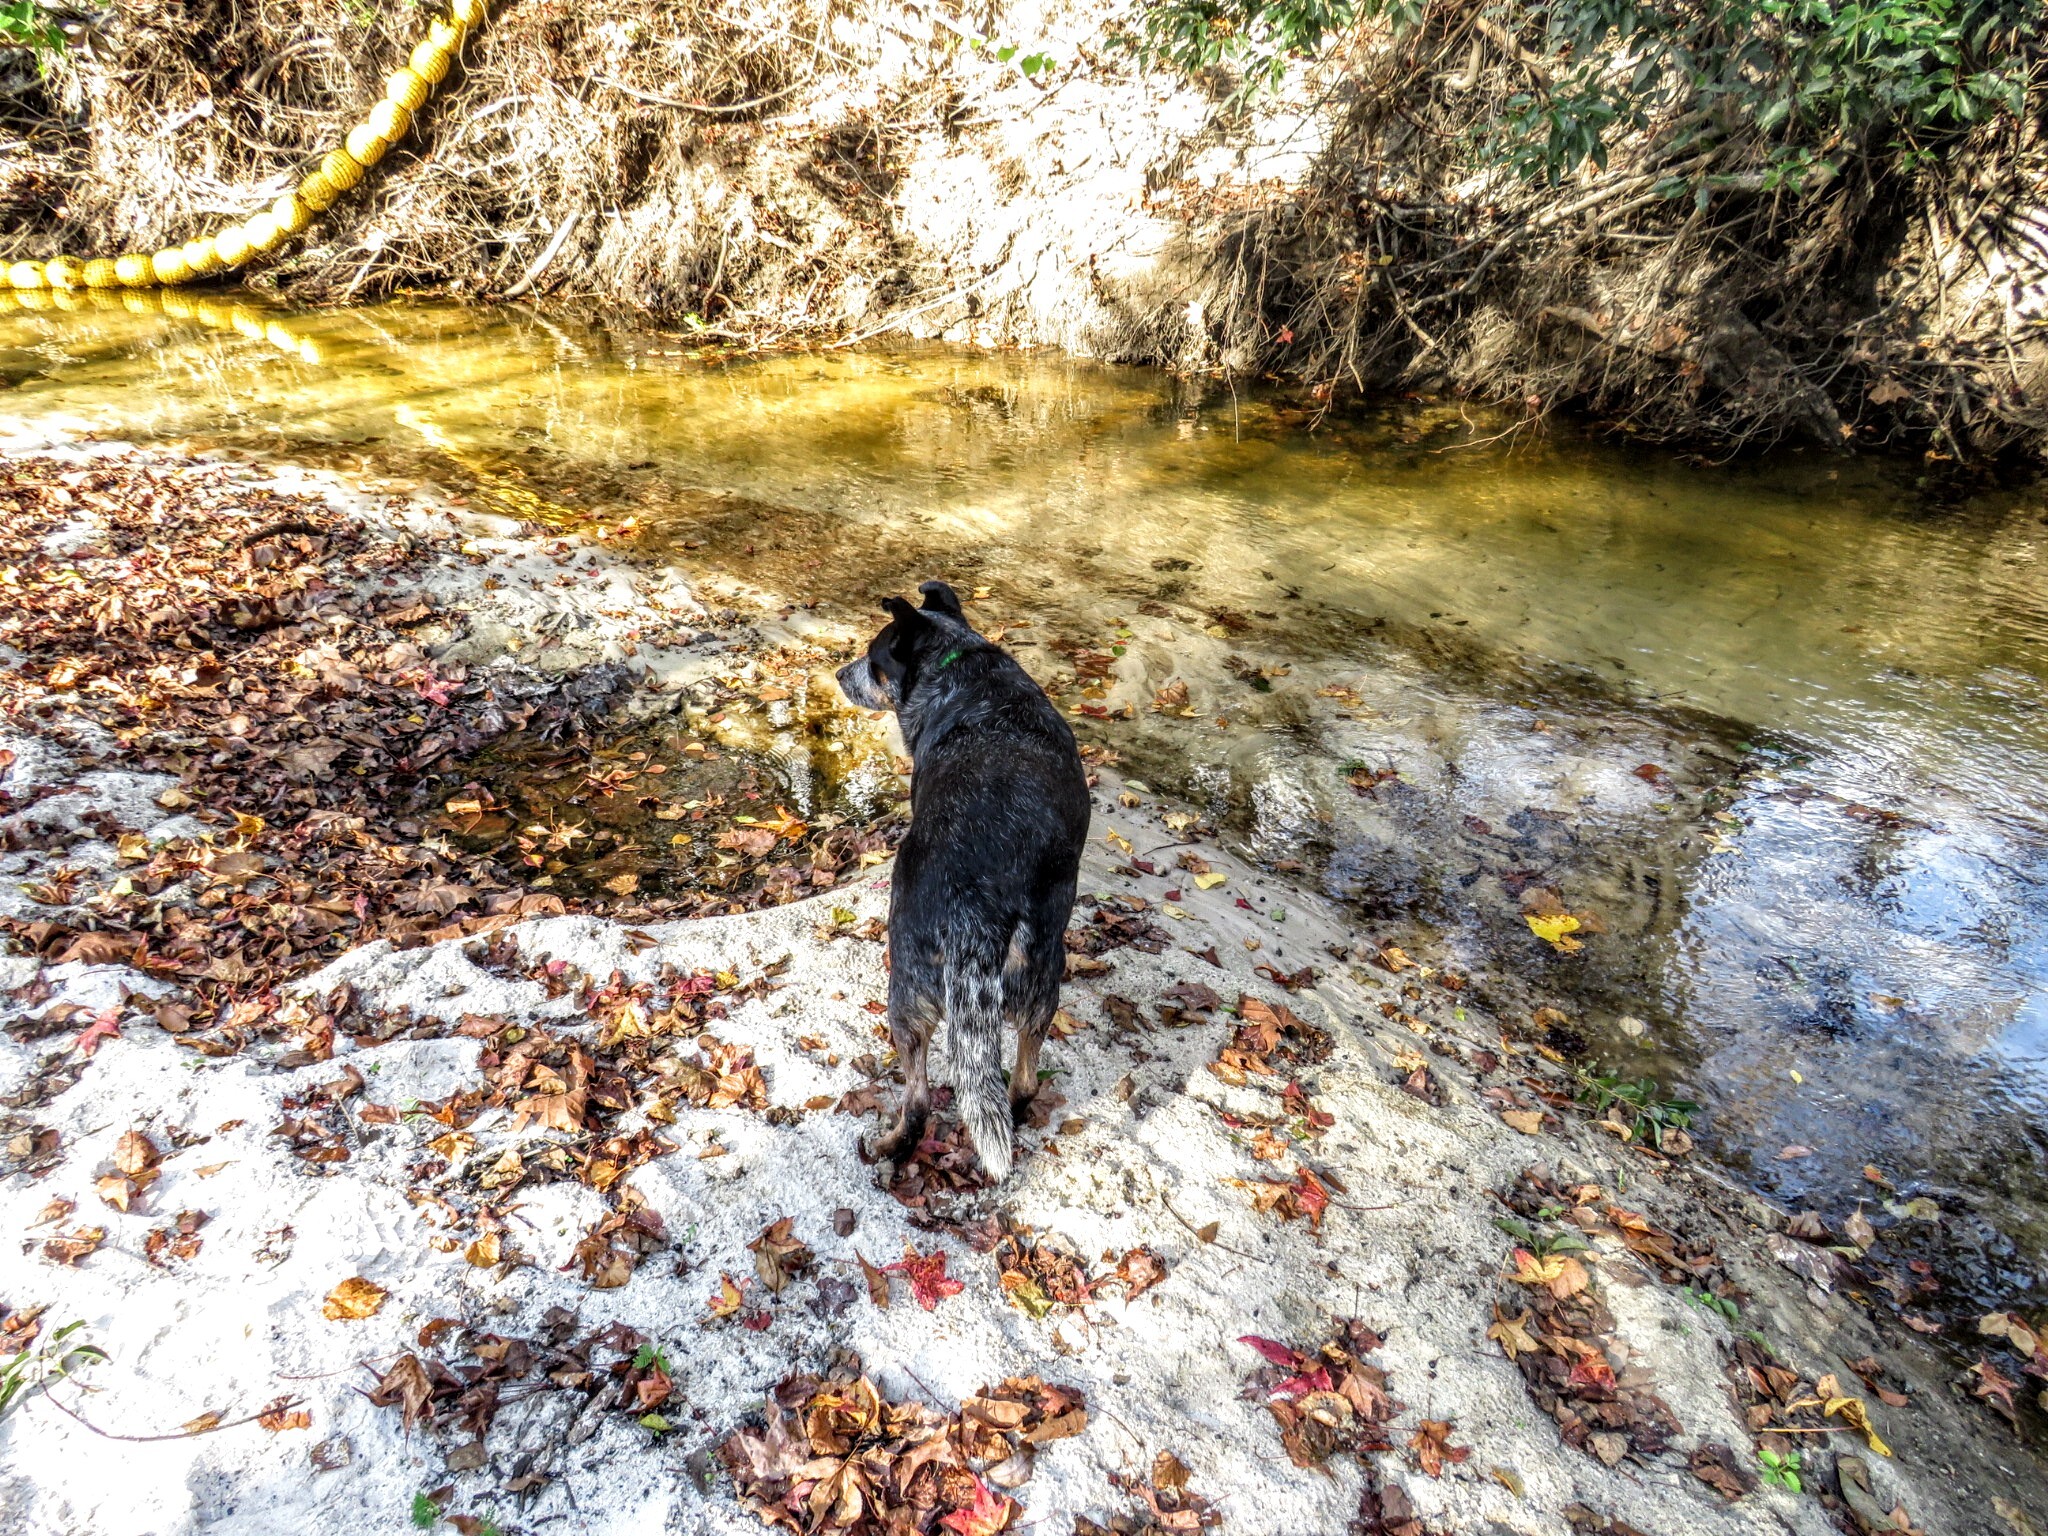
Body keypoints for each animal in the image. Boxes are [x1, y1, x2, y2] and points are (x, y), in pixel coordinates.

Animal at [831, 581, 1089, 1187]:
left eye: (872, 660)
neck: (960, 661)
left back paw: (888, 1147)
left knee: (918, 1102)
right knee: (1022, 1082)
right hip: (1043, 984)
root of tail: (978, 909)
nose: (838, 674)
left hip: (906, 995)